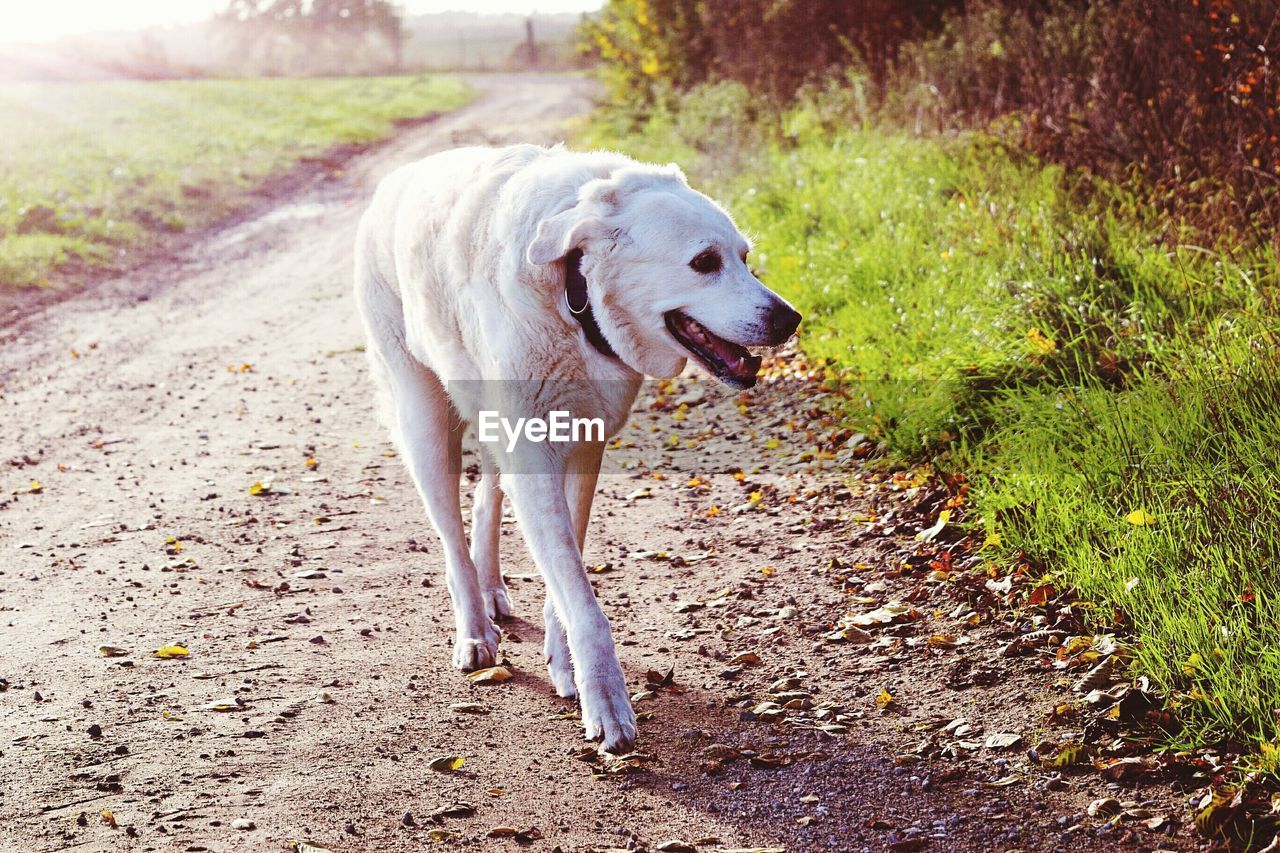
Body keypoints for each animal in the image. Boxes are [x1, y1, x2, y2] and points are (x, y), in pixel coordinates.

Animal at [355, 146, 798, 753]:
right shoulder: (535, 455)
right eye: (705, 262)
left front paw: (565, 665)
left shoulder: (584, 449)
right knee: (450, 537)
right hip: (425, 422)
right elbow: (581, 600)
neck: (574, 296)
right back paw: (474, 628)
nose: (791, 319)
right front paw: (607, 702)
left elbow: (566, 575)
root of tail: (396, 179)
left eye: (745, 259)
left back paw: (492, 591)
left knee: (487, 500)